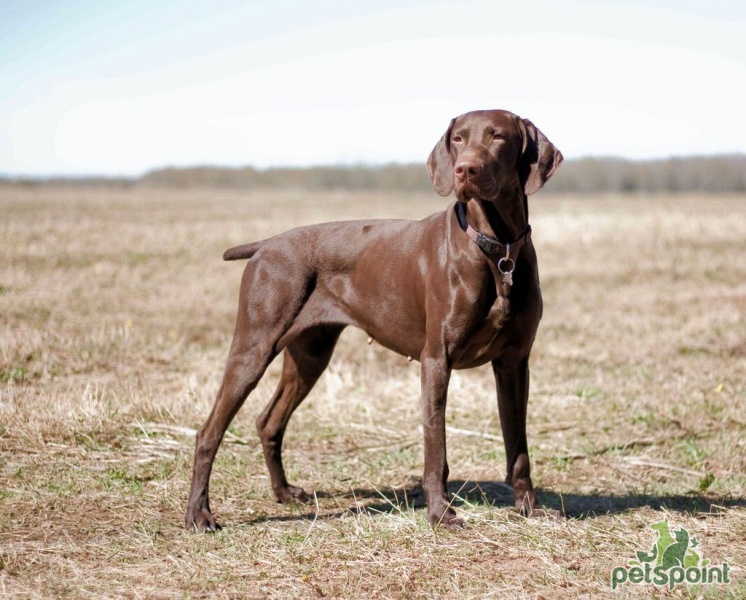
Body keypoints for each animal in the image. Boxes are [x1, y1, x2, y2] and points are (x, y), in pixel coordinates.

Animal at [185, 108, 560, 528]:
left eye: (498, 136)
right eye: (458, 139)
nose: (465, 169)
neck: (498, 249)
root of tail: (267, 244)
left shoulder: (514, 363)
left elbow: (519, 449)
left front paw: (529, 506)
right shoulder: (436, 360)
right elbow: (437, 448)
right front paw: (440, 512)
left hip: (310, 356)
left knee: (269, 422)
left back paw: (283, 493)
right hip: (253, 348)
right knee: (208, 432)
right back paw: (198, 514)